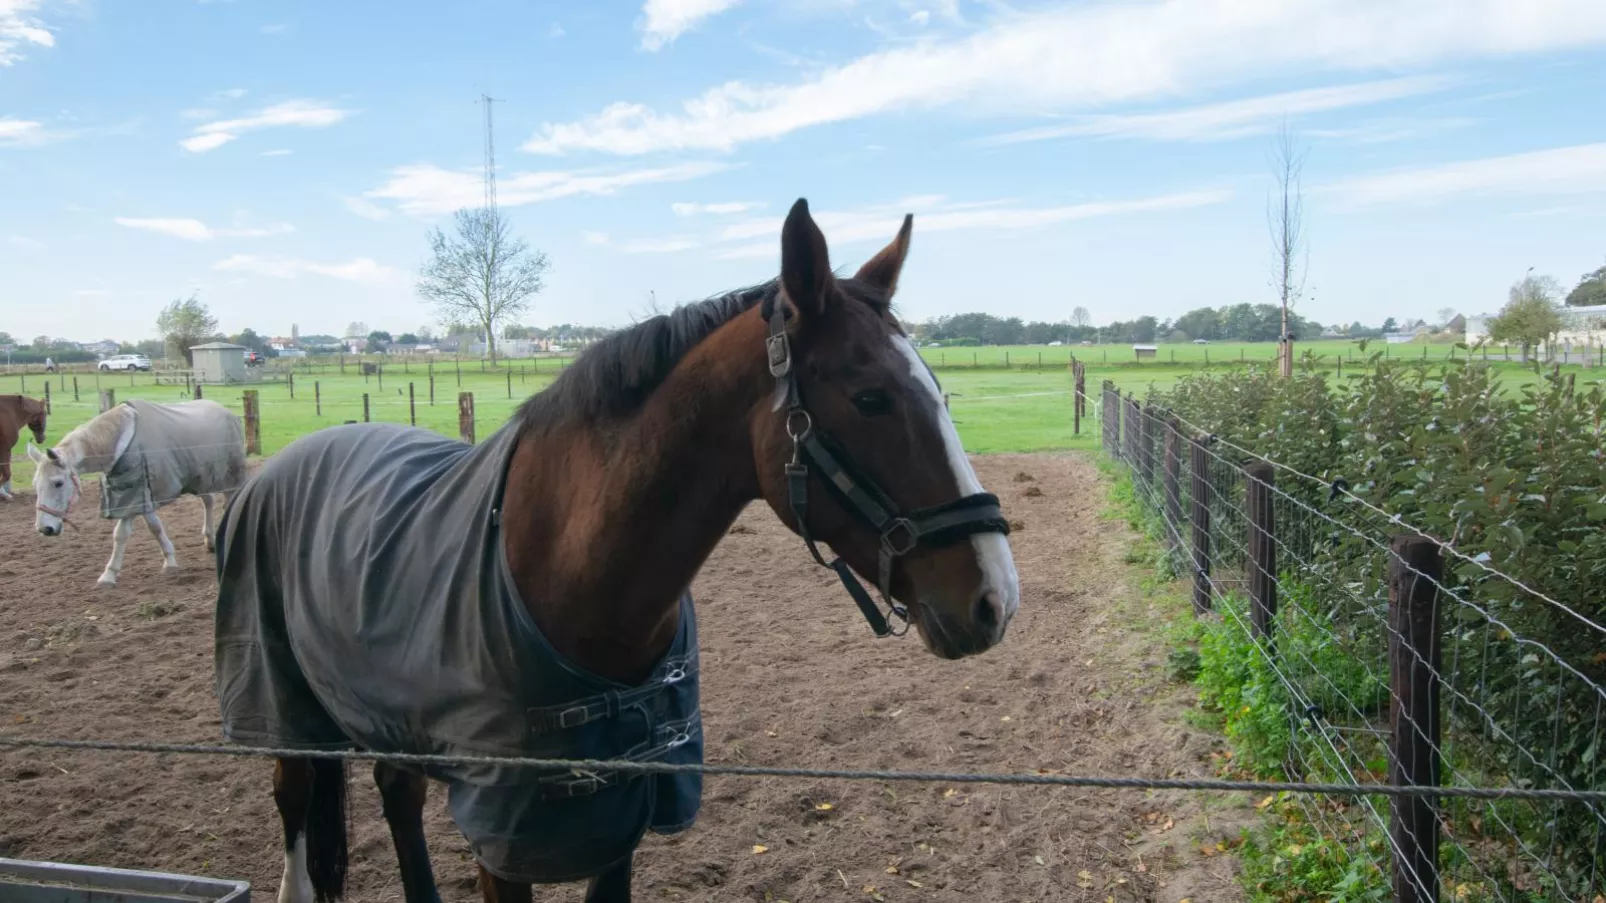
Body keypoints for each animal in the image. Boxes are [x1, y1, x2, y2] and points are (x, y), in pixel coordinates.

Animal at [30, 395, 247, 578]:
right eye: (35, 484)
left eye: (58, 482)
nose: (45, 528)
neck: (120, 442)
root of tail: (226, 412)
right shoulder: (134, 496)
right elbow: (141, 530)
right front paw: (110, 574)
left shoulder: (139, 493)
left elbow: (138, 530)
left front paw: (168, 562)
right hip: (200, 478)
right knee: (208, 501)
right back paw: (209, 541)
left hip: (229, 478)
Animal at [213, 198, 1021, 899]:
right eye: (869, 398)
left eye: (938, 389)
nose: (996, 598)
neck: (560, 567)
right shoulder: (502, 836)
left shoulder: (621, 817)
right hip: (287, 715)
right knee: (294, 805)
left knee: (396, 792)